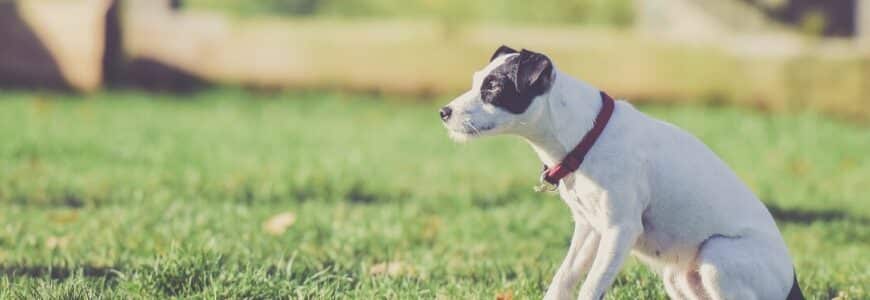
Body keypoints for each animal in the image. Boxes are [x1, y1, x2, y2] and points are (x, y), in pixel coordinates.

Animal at [440, 45, 808, 300]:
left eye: (493, 88)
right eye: (476, 80)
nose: (443, 112)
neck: (586, 136)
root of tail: (792, 284)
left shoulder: (620, 230)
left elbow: (590, 288)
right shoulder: (589, 228)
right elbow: (563, 279)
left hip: (717, 256)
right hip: (679, 277)